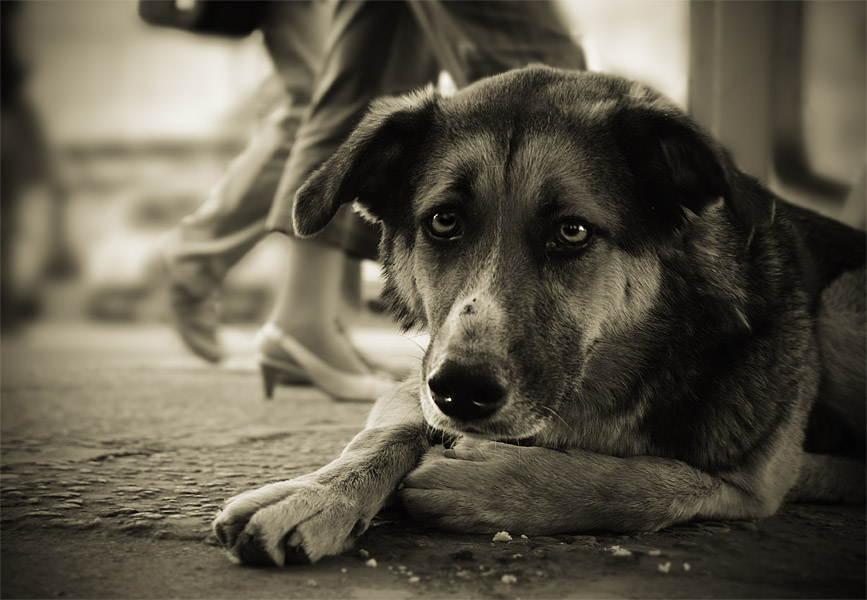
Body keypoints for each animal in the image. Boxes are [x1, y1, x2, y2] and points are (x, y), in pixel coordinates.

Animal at [212, 67, 867, 568]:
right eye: (443, 221)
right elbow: (386, 432)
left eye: (572, 231)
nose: (461, 391)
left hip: (841, 307)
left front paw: (496, 484)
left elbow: (654, 482)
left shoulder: (753, 481)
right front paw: (315, 494)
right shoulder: (418, 379)